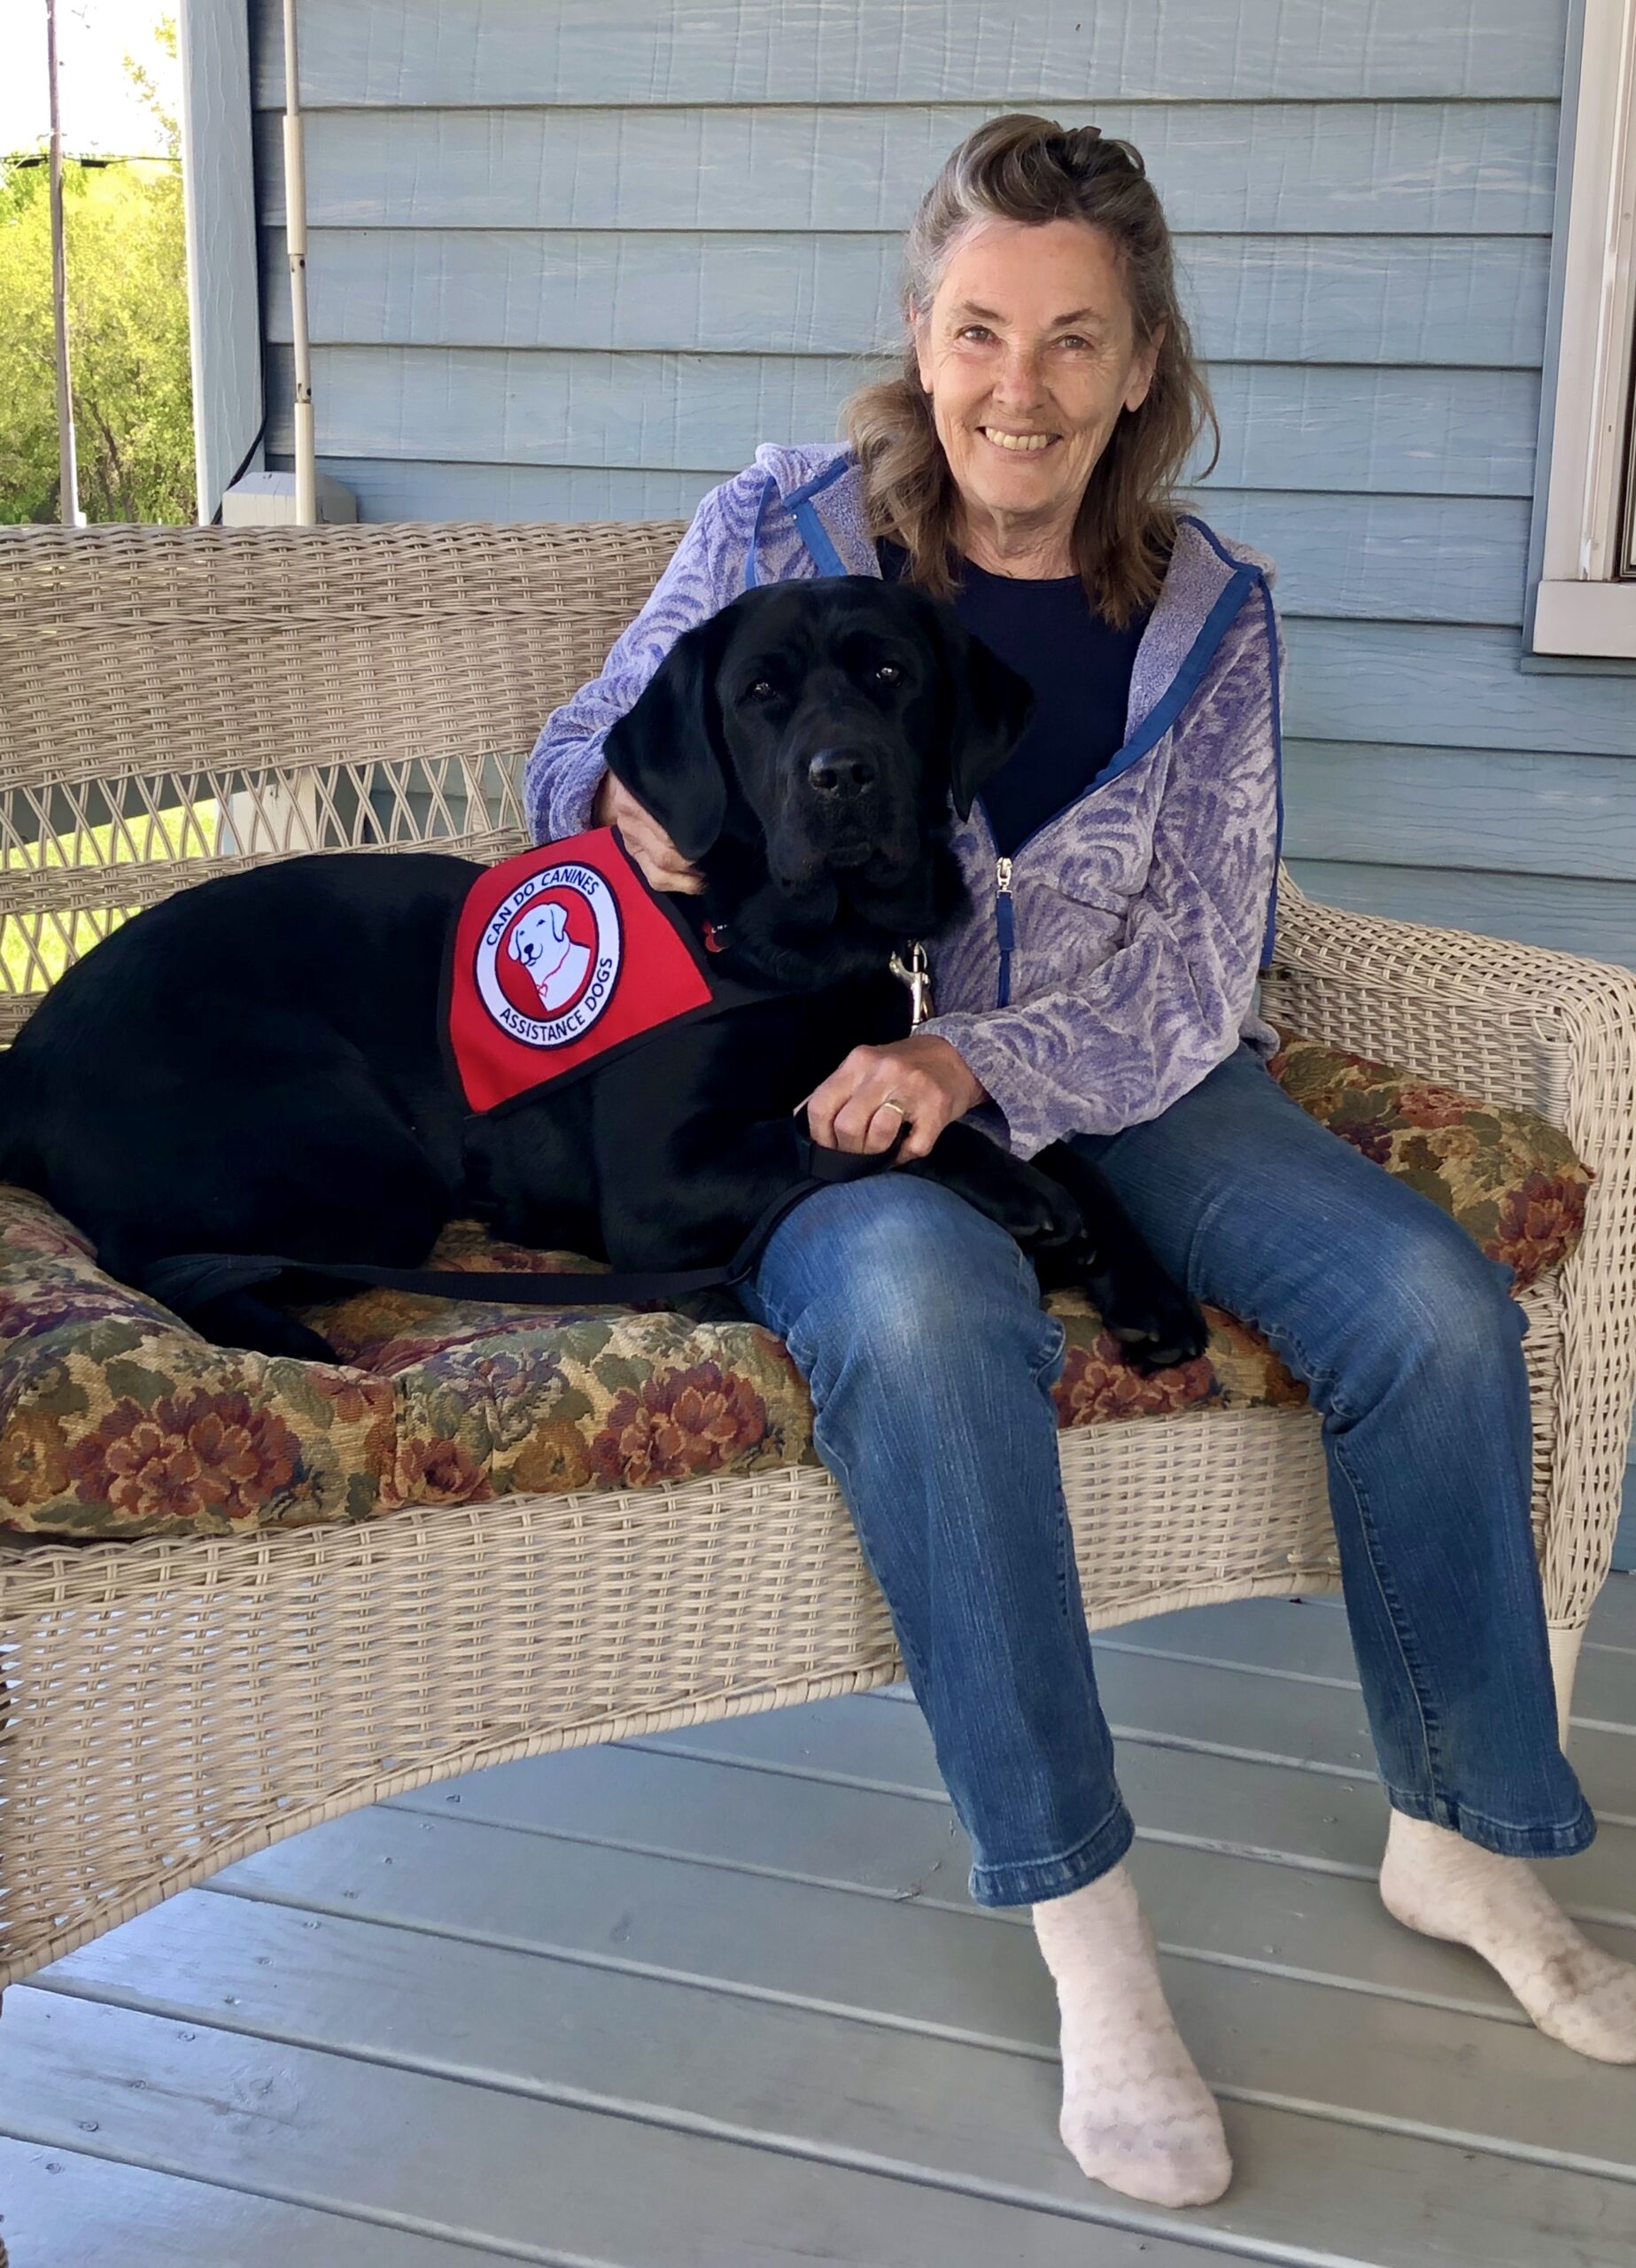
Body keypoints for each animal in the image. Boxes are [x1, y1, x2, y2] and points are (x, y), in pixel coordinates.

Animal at [0, 576, 1198, 1370]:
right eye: (759, 692)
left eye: (891, 675)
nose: (842, 774)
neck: (796, 943)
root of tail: (26, 1057)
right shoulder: (660, 1181)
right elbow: (841, 1132)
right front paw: (1016, 1193)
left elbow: (1041, 1138)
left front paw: (1142, 1282)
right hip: (366, 1172)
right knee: (158, 1257)